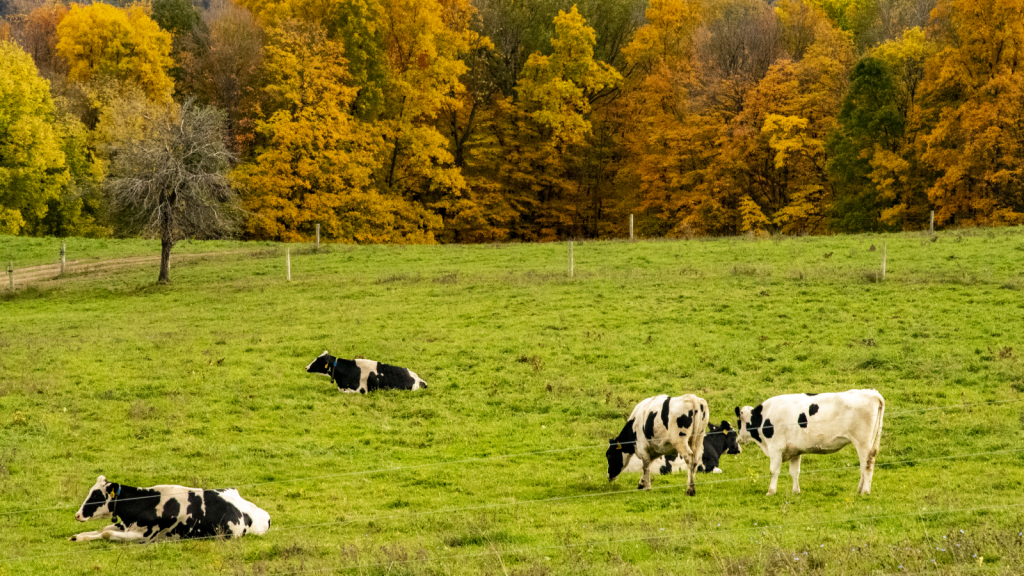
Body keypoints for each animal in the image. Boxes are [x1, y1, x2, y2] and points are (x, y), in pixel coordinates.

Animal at [70, 473, 274, 541]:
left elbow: (106, 533)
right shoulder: (126, 525)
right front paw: (77, 537)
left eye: (96, 495)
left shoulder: (145, 537)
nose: (77, 515)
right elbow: (102, 529)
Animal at [733, 387, 884, 496]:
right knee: (863, 466)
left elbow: (774, 471)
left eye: (738, 422)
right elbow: (794, 472)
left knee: (868, 464)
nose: (737, 439)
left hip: (862, 442)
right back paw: (859, 489)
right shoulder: (794, 450)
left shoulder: (776, 447)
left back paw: (865, 491)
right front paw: (796, 491)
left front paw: (771, 491)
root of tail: (872, 392)